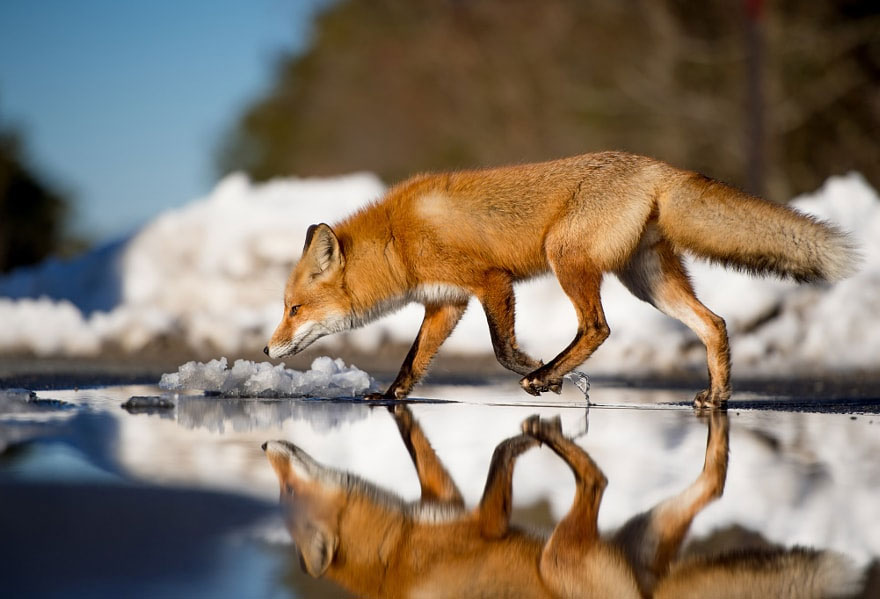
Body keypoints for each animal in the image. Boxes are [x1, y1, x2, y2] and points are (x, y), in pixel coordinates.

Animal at [262, 406, 862, 598]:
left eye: (288, 490)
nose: (266, 445)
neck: (397, 551)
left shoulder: (481, 520)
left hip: (560, 557)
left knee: (598, 483)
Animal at [264, 152, 858, 406]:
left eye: (293, 309)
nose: (268, 350)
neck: (397, 238)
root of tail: (656, 166)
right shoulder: (445, 304)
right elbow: (413, 362)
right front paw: (389, 397)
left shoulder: (491, 281)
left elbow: (503, 349)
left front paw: (539, 370)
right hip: (647, 282)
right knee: (713, 323)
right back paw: (716, 397)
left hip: (565, 257)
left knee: (598, 328)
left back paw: (548, 374)